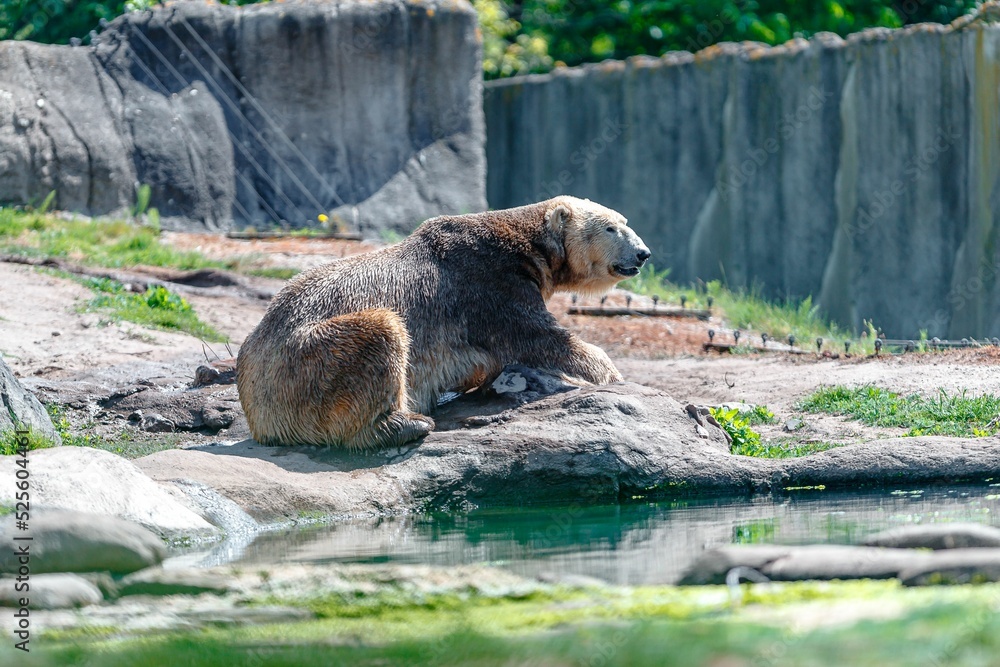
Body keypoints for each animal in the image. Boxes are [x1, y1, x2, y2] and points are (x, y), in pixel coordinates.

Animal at [238, 196, 652, 452]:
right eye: (611, 228)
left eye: (624, 222)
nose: (643, 253)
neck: (522, 240)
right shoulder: (490, 283)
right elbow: (540, 338)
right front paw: (612, 374)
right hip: (307, 360)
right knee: (381, 333)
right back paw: (407, 423)